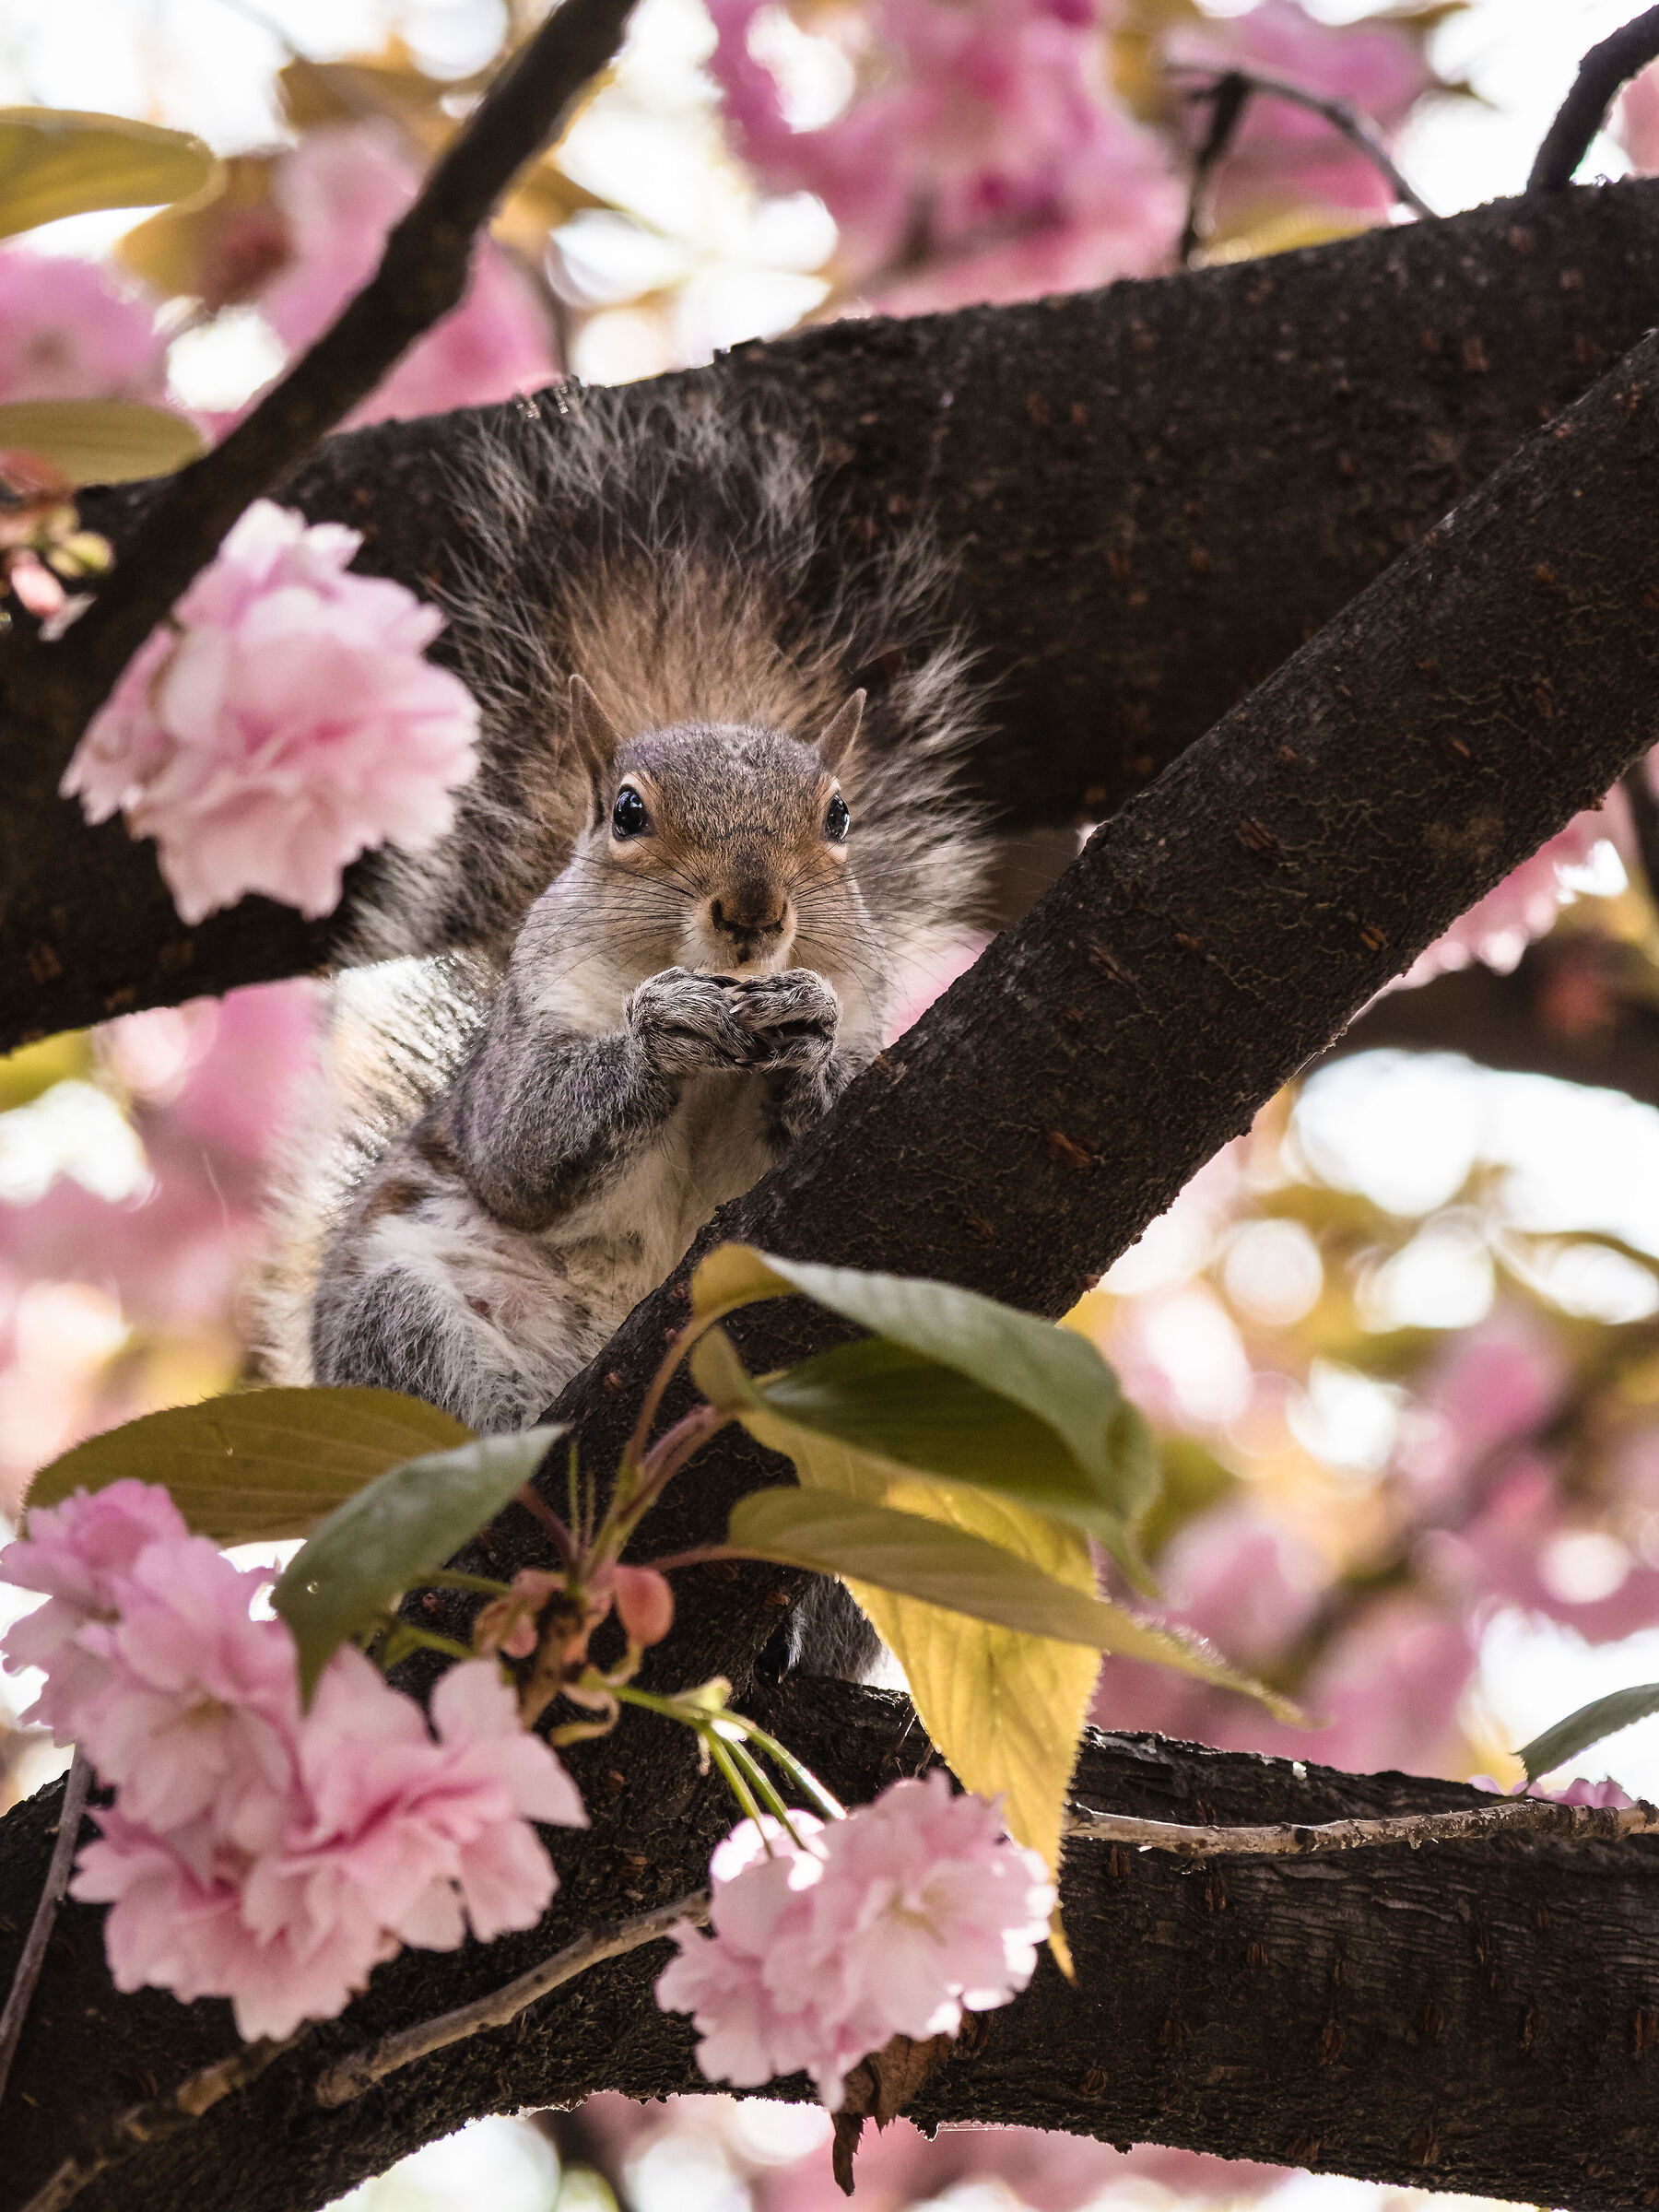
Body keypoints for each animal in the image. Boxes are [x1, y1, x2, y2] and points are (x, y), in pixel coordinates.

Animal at [259, 385, 994, 1470]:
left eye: (839, 817)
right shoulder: (528, 1037)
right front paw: (667, 1028)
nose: (752, 910)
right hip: (404, 1316)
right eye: (627, 812)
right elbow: (524, 1144)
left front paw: (807, 1037)